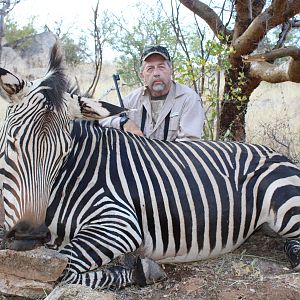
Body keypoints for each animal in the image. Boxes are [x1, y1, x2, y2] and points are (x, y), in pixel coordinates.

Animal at [0, 43, 300, 290]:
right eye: (12, 142)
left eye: (63, 154)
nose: (29, 235)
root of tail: (278, 154)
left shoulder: (120, 222)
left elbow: (62, 268)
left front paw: (138, 271)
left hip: (285, 203)